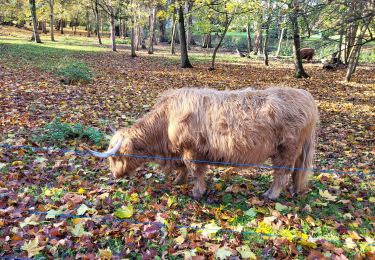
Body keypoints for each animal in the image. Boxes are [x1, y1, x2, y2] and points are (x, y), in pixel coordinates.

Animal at [89, 86, 320, 200]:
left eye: (115, 157)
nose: (114, 176)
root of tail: (306, 96)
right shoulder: (179, 151)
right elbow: (183, 168)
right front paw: (178, 180)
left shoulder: (192, 150)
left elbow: (196, 170)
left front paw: (197, 192)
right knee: (296, 172)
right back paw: (295, 190)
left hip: (286, 149)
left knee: (281, 173)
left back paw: (270, 195)